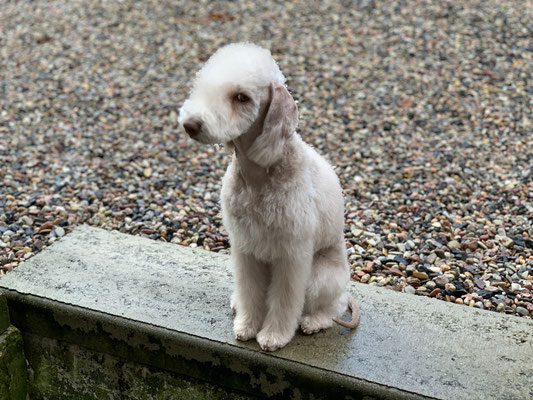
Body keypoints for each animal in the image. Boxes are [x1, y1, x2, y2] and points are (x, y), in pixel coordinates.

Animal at [178, 42, 358, 352]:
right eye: (203, 86)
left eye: (241, 97)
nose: (191, 124)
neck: (259, 174)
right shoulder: (245, 247)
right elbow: (250, 291)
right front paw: (248, 325)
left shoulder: (292, 254)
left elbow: (285, 300)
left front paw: (274, 335)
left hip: (322, 278)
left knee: (331, 307)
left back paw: (313, 322)